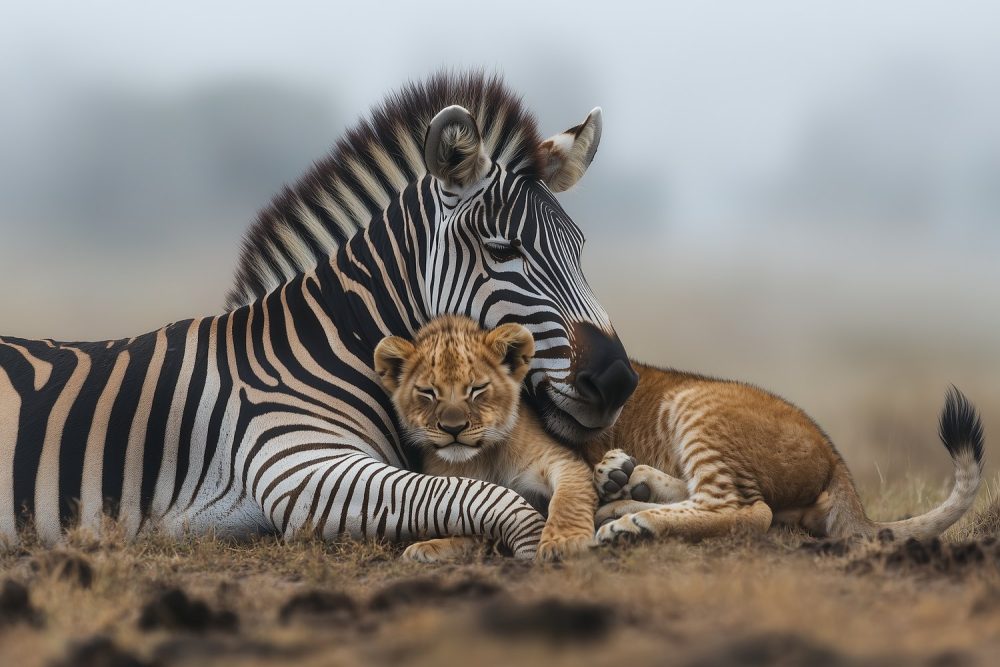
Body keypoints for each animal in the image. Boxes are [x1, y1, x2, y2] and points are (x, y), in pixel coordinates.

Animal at [0, 72, 638, 557]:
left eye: (579, 247)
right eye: (503, 250)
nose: (616, 379)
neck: (328, 348)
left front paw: (616, 485)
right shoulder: (299, 468)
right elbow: (487, 498)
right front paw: (537, 546)